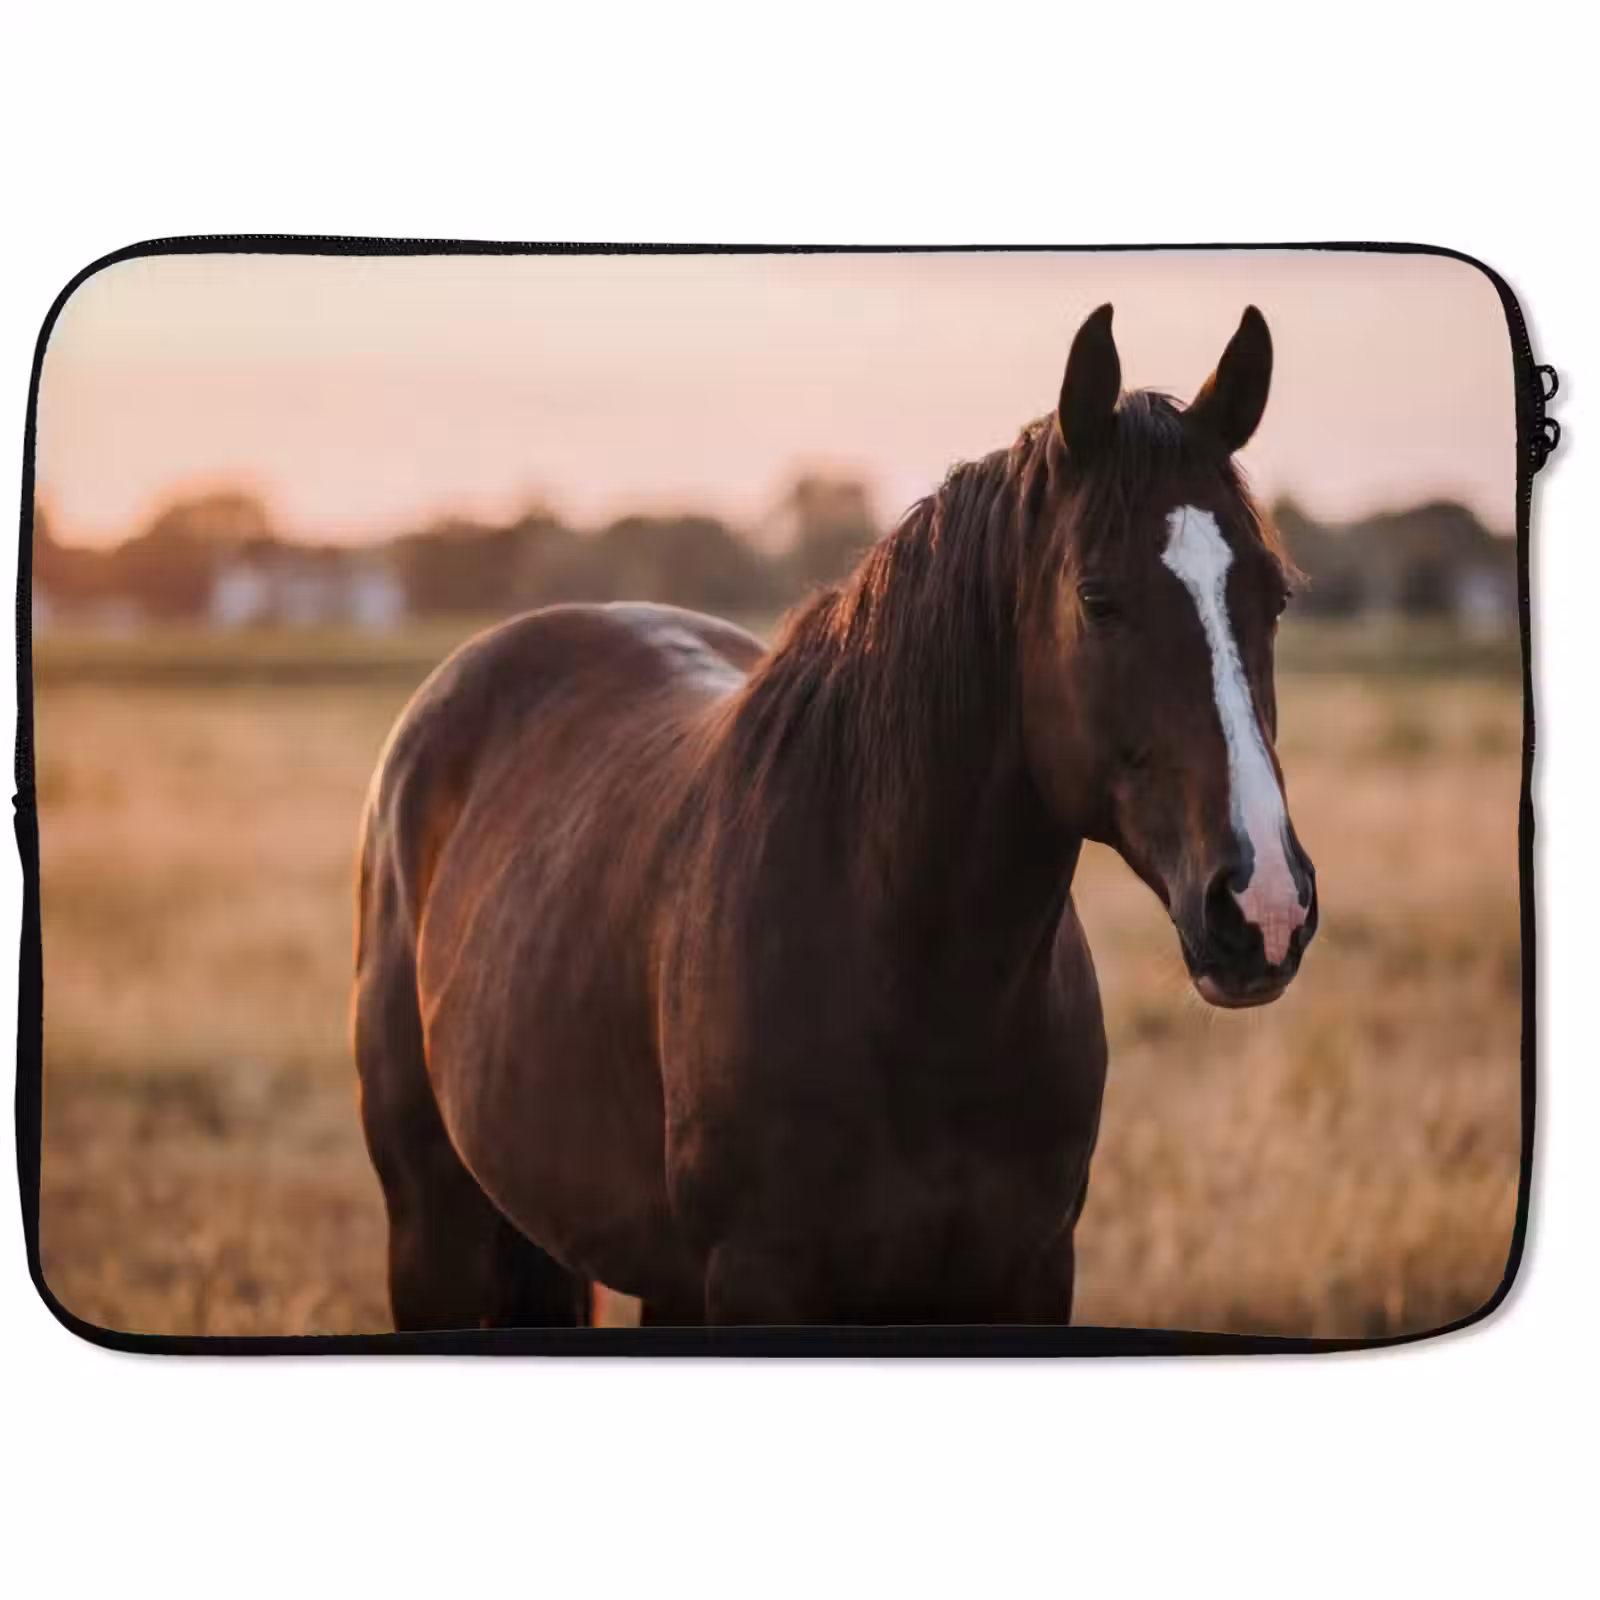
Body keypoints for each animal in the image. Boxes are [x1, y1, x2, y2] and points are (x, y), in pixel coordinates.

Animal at [352, 303, 1318, 1329]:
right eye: (1098, 599)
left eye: (1274, 595)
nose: (1262, 906)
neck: (915, 980)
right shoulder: (760, 1278)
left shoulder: (1029, 1271)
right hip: (432, 1228)